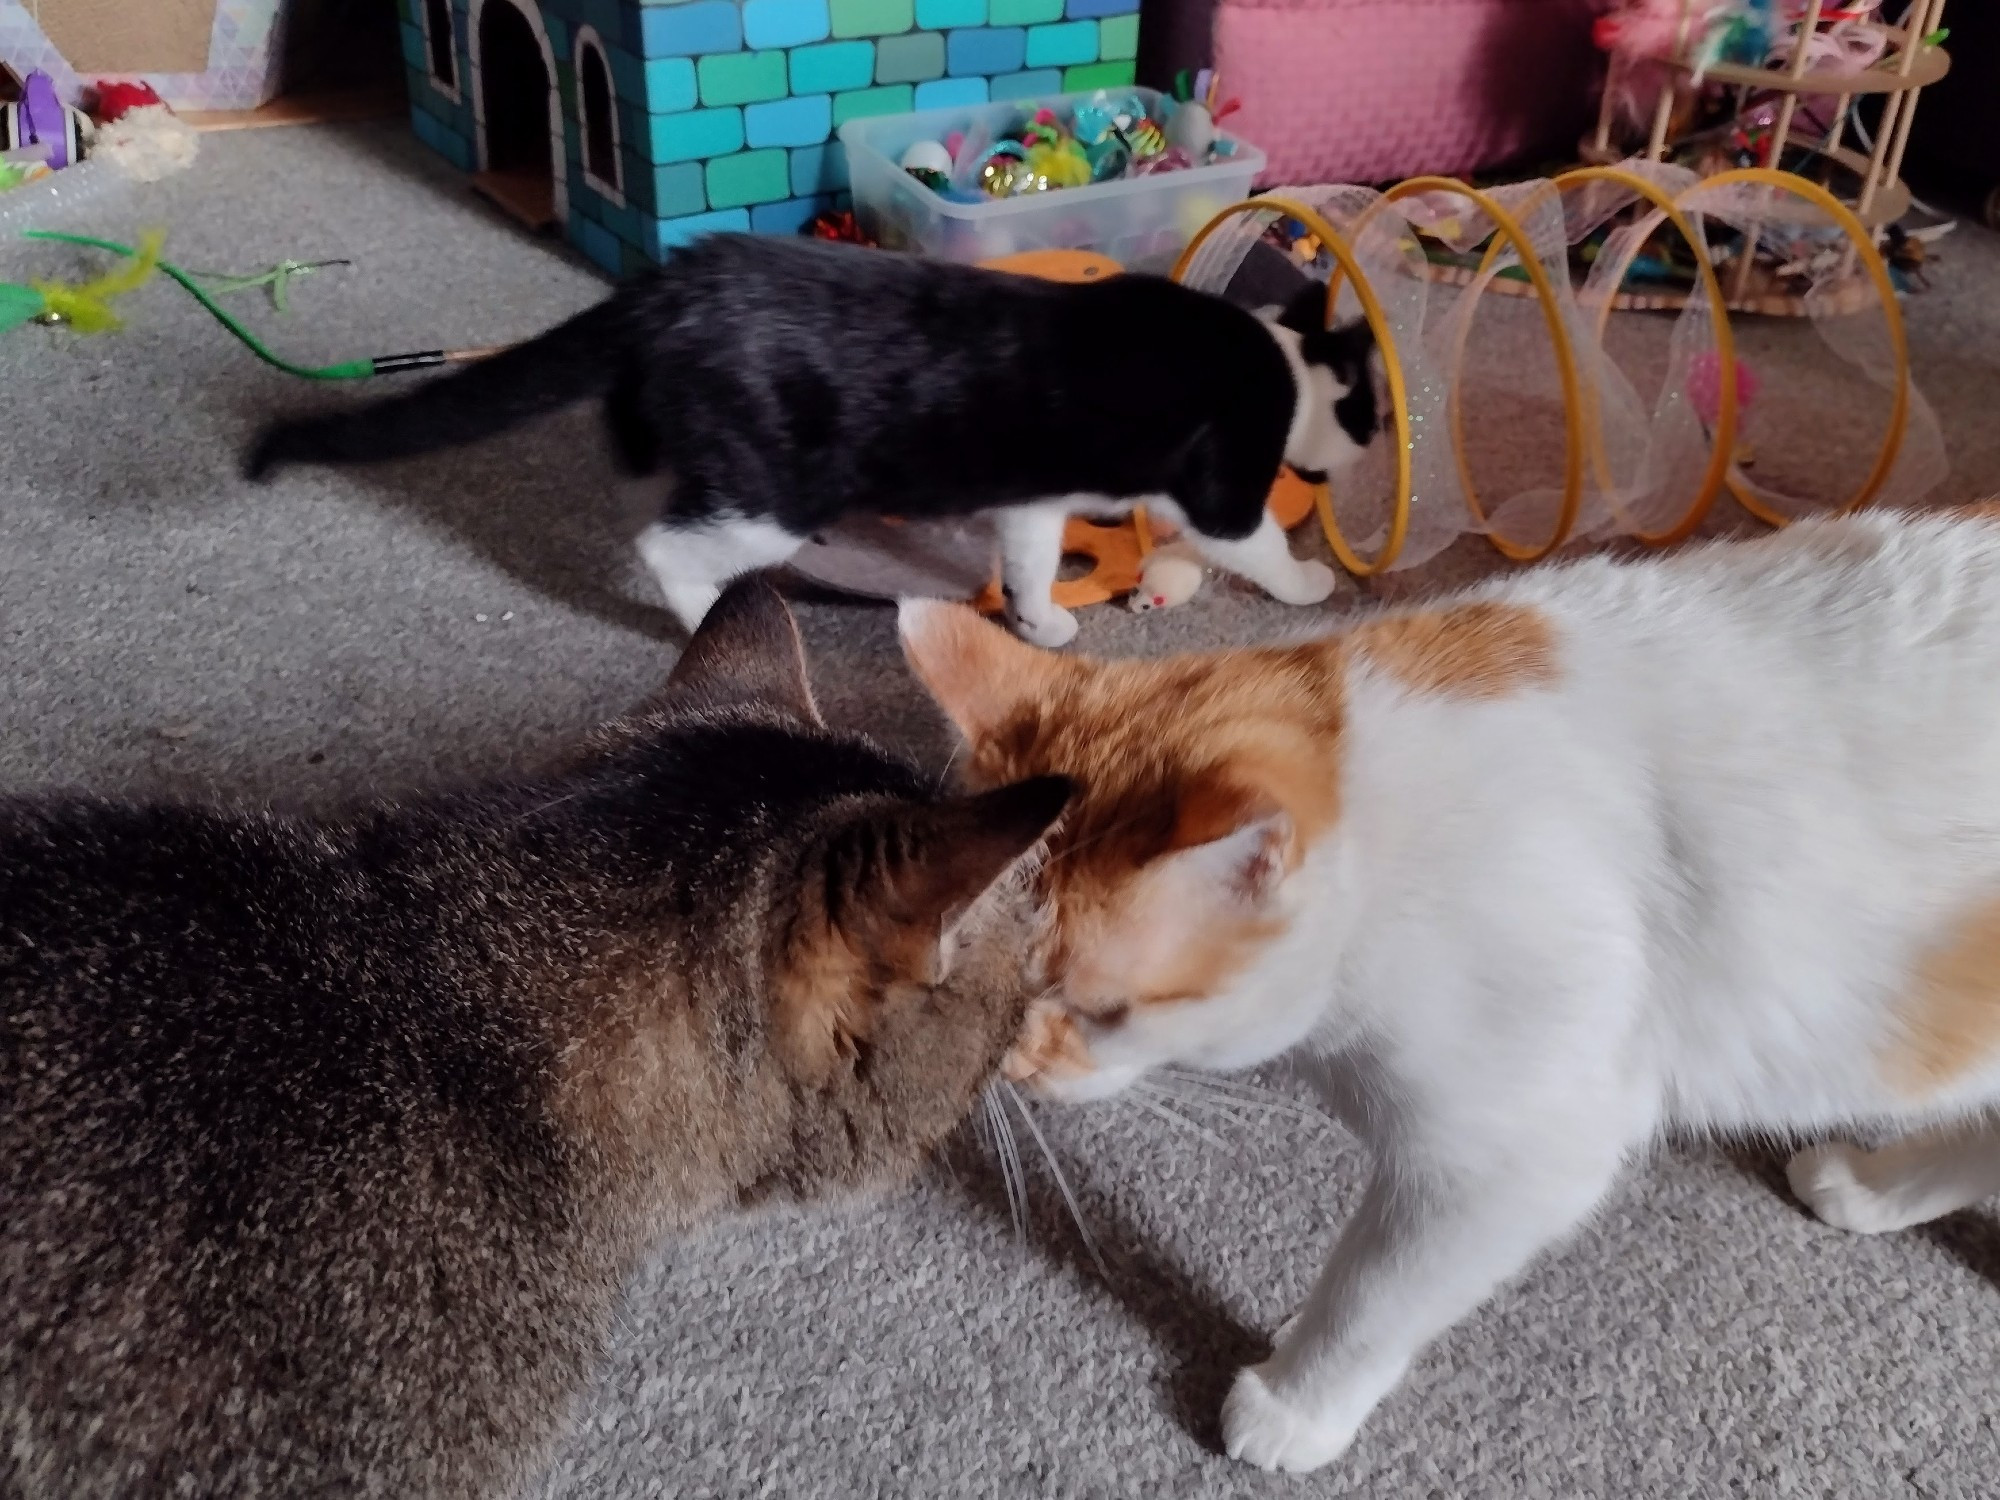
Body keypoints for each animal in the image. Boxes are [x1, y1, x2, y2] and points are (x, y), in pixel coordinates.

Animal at [246, 235, 1376, 648]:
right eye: (1374, 415)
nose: (1364, 460)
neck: (1285, 362)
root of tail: (670, 285)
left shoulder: (1030, 499)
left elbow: (1028, 558)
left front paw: (1042, 620)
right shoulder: (1223, 486)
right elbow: (1255, 546)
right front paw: (1312, 582)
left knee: (642, 481)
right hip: (772, 494)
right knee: (665, 543)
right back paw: (700, 610)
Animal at [900, 512, 2000, 1472]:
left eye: (1097, 1009)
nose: (1006, 1070)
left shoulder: (1509, 1158)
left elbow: (1371, 1298)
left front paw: (1294, 1401)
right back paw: (1872, 1187)